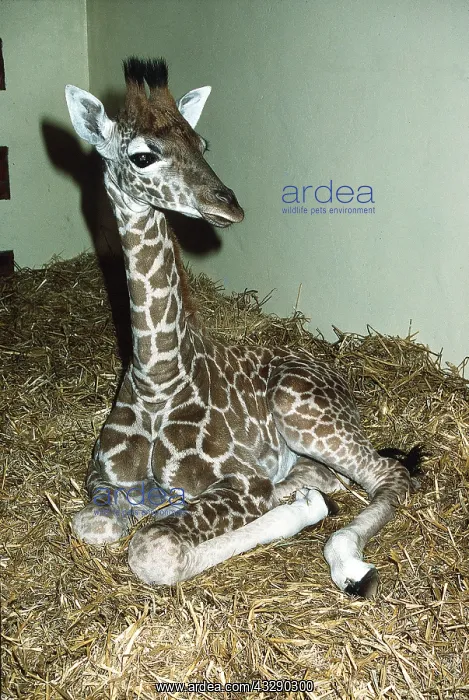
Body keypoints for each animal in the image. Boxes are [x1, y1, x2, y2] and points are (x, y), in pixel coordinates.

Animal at [65, 57, 422, 598]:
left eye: (202, 143)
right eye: (143, 156)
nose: (228, 203)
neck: (156, 377)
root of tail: (338, 379)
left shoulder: (241, 481)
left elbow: (155, 549)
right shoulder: (103, 482)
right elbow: (94, 523)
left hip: (303, 415)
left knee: (387, 474)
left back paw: (346, 558)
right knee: (334, 477)